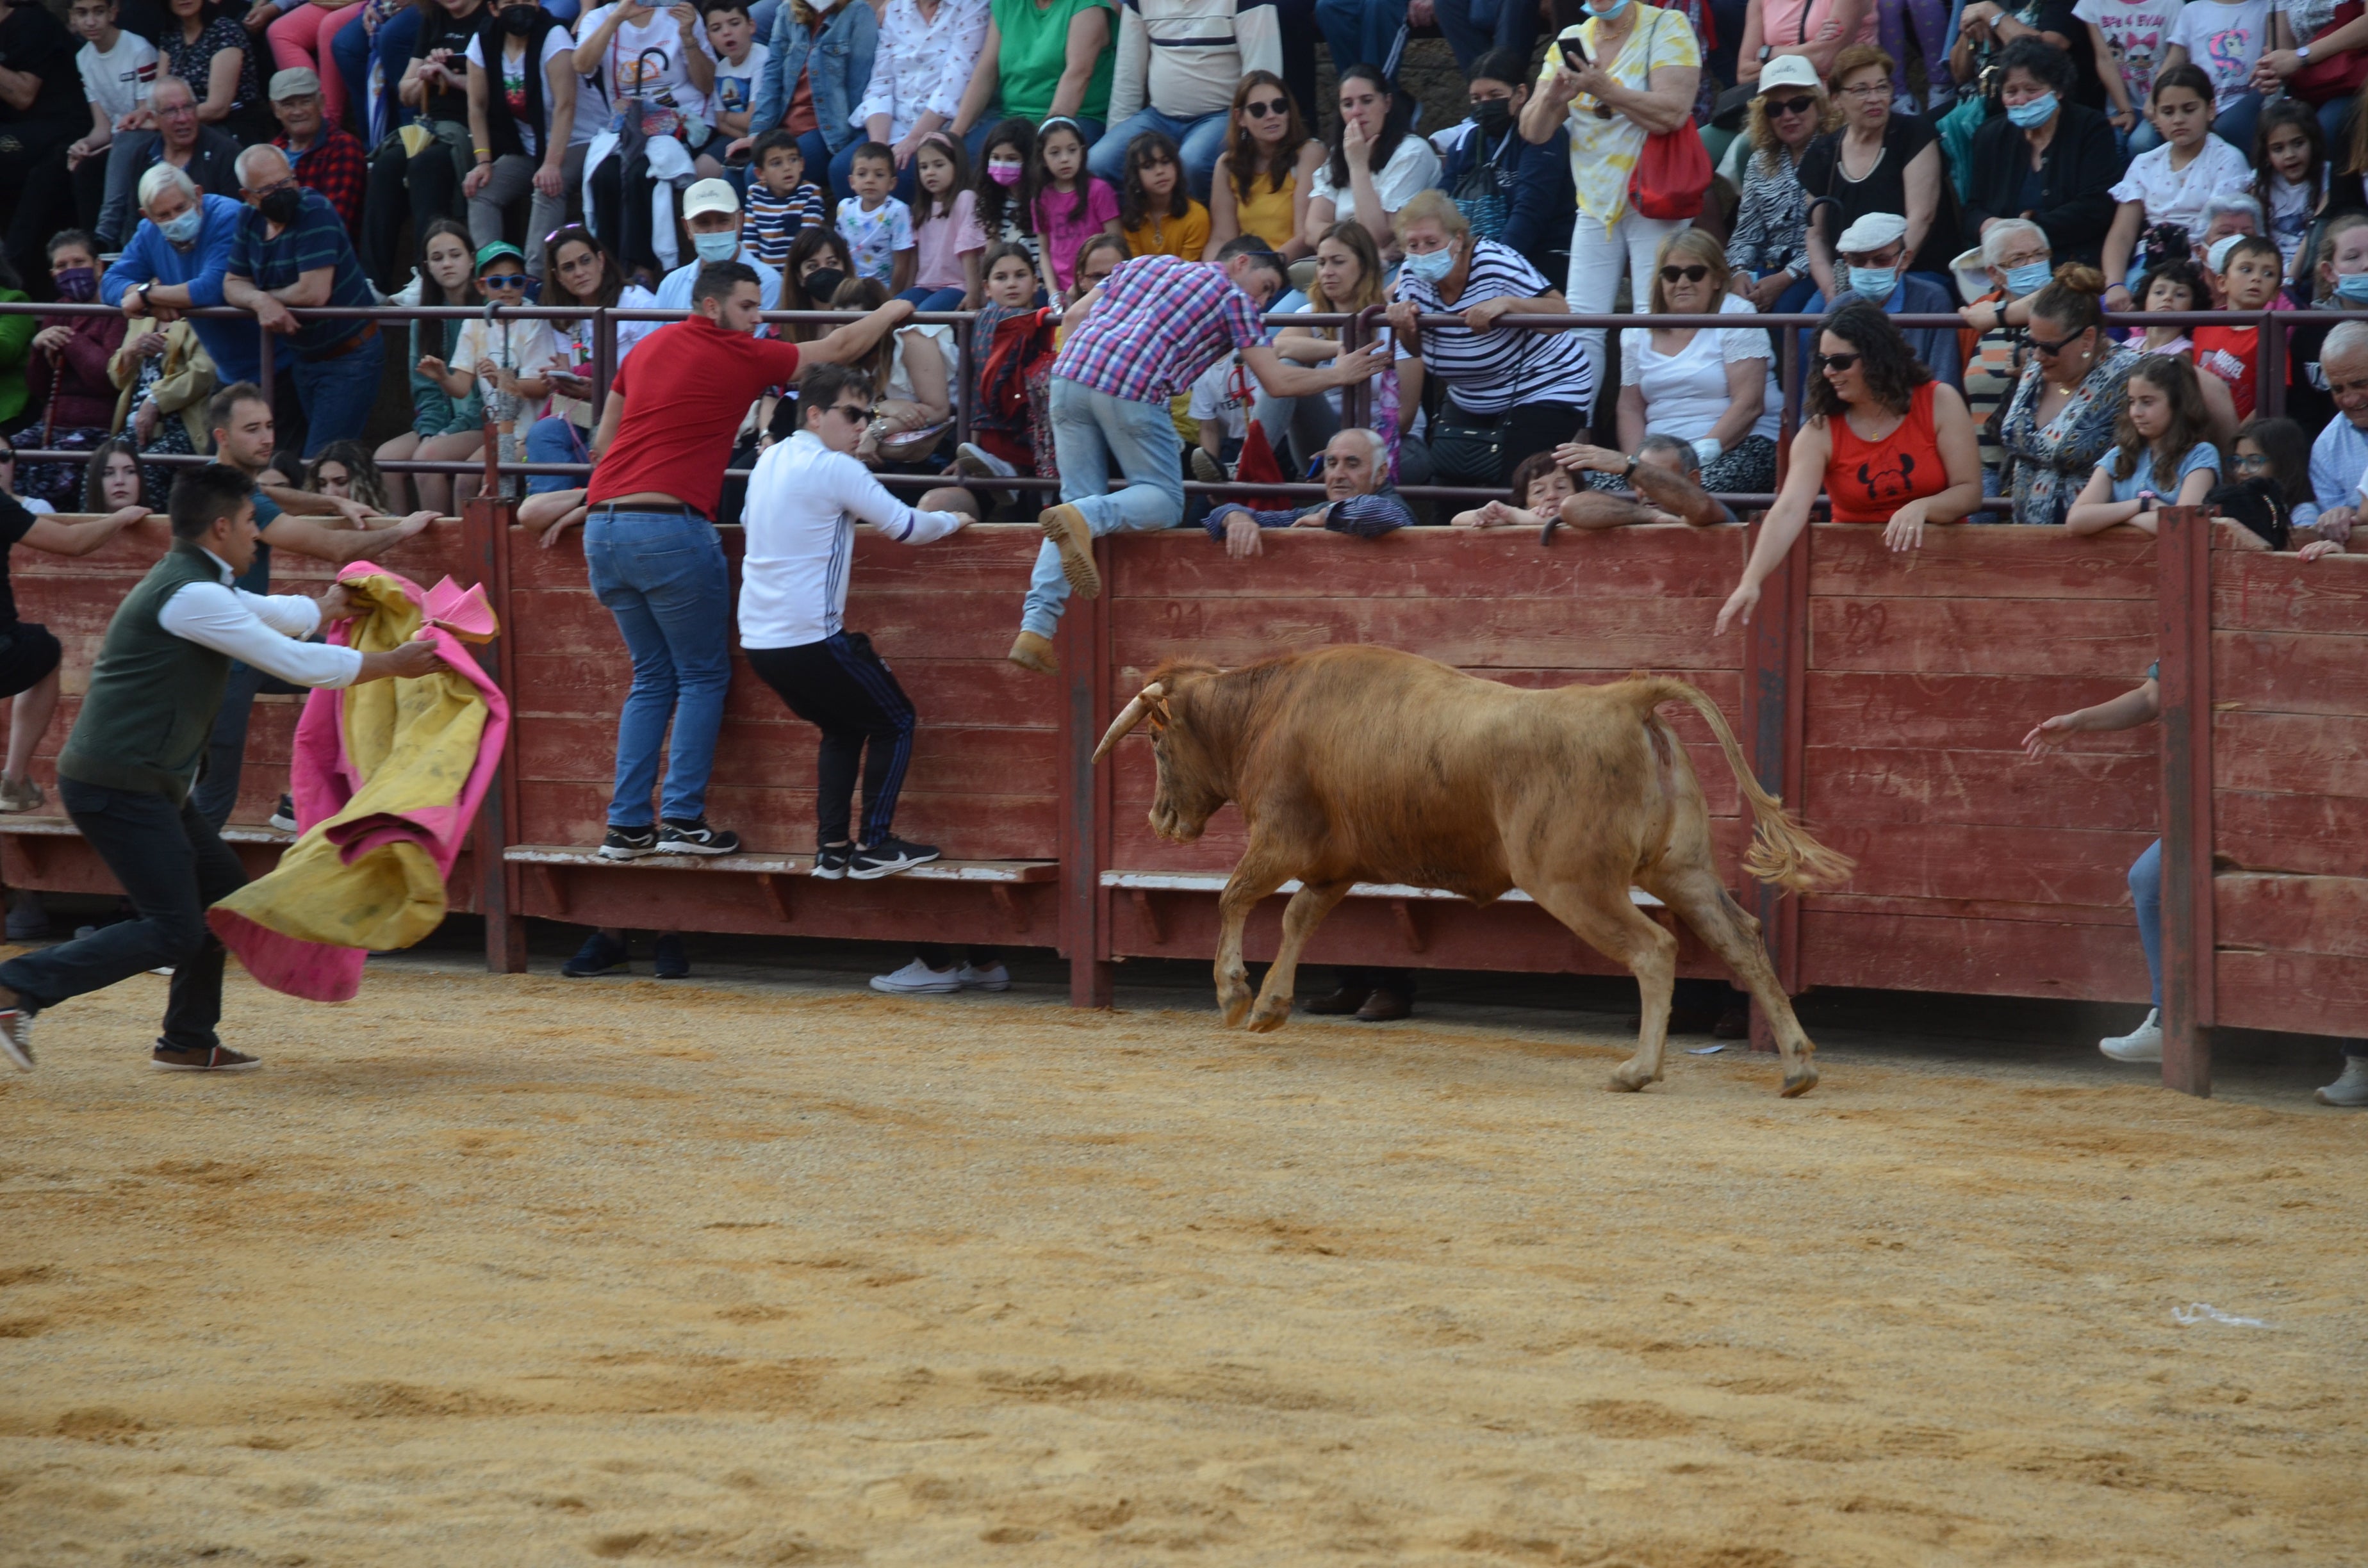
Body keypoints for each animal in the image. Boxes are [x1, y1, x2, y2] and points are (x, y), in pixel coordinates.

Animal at [1089, 644, 1846, 1098]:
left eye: (1155, 738)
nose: (1160, 820)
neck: (1264, 711)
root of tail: (1625, 699)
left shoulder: (1281, 842)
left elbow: (1234, 898)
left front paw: (1233, 994)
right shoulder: (1336, 864)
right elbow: (1299, 916)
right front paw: (1273, 1006)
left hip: (1573, 884)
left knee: (1656, 949)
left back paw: (1638, 1069)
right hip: (1679, 869)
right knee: (1741, 939)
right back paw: (1798, 1065)